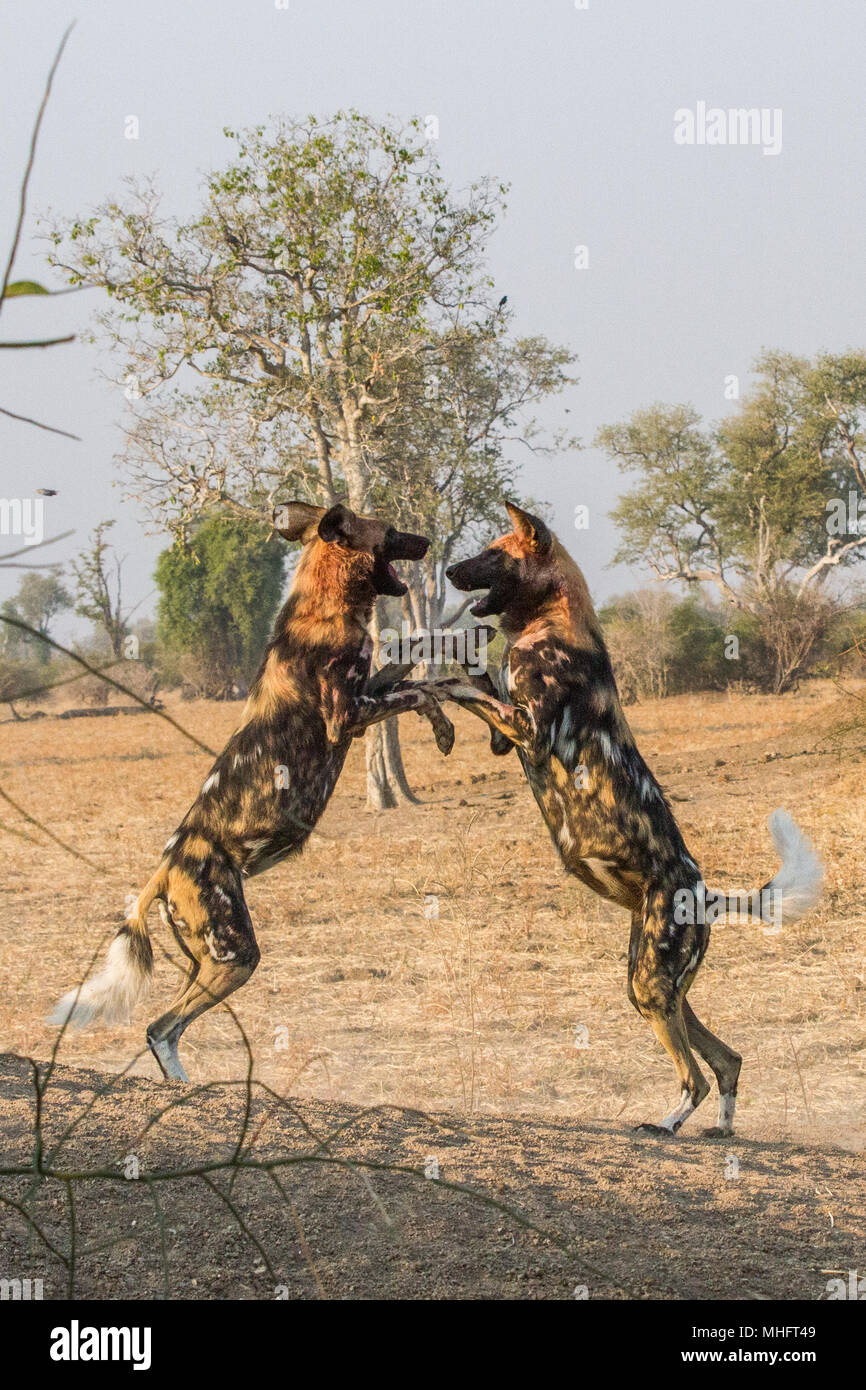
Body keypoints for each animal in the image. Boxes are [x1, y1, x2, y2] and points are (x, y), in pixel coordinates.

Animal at [48, 505, 453, 1078]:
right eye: (392, 531)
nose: (427, 541)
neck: (326, 604)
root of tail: (164, 869)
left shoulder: (367, 694)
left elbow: (415, 672)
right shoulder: (348, 717)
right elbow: (420, 689)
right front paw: (445, 724)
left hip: (209, 960)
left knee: (163, 1027)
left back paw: (186, 1089)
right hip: (238, 954)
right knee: (160, 1026)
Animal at [430, 505, 822, 1134]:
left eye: (492, 553)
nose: (447, 570)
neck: (548, 622)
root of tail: (707, 892)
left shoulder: (528, 731)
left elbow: (455, 682)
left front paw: (425, 685)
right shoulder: (506, 734)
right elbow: (473, 680)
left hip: (652, 985)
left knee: (695, 1075)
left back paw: (665, 1125)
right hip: (654, 985)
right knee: (727, 1059)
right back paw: (719, 1130)